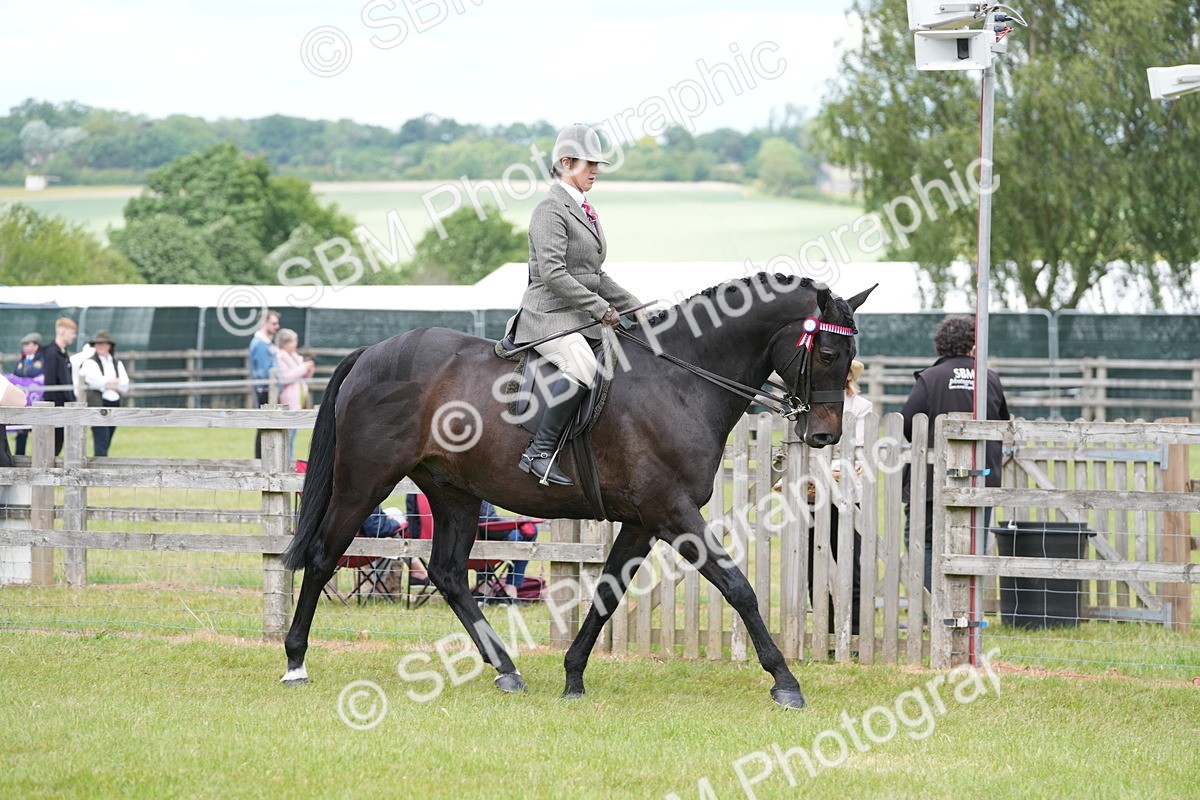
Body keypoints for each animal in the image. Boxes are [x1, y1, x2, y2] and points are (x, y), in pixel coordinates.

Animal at [281, 272, 874, 708]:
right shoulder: (673, 513)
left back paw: (507, 670)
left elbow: (608, 593)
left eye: (848, 360)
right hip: (363, 482)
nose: (825, 435)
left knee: (449, 574)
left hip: (454, 493)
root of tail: (372, 351)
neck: (682, 381)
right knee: (323, 556)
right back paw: (295, 661)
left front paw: (572, 676)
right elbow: (738, 587)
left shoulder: (642, 520)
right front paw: (785, 682)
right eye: (826, 355)